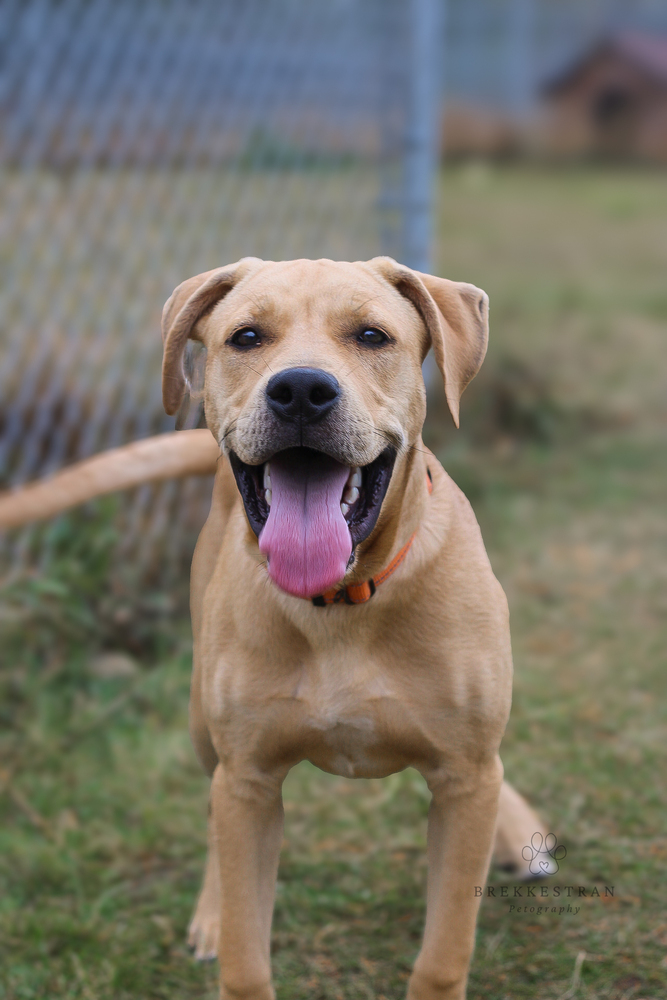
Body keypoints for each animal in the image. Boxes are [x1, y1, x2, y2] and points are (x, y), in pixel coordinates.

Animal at [0, 258, 544, 1000]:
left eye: (371, 335)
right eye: (246, 337)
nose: (301, 391)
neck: (341, 602)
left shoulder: (464, 777)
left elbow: (443, 951)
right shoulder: (249, 781)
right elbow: (245, 952)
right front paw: (225, 929)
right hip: (203, 726)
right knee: (212, 818)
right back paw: (209, 914)